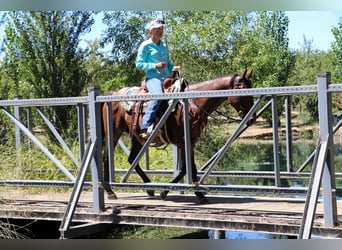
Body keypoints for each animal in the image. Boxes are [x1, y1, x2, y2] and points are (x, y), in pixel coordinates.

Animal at [100, 70, 255, 203]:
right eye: (243, 90)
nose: (252, 118)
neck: (193, 103)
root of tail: (112, 94)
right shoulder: (183, 141)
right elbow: (187, 168)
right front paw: (175, 192)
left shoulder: (190, 141)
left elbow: (188, 168)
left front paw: (187, 193)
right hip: (114, 133)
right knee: (107, 158)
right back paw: (110, 191)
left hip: (138, 138)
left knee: (132, 159)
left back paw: (149, 187)